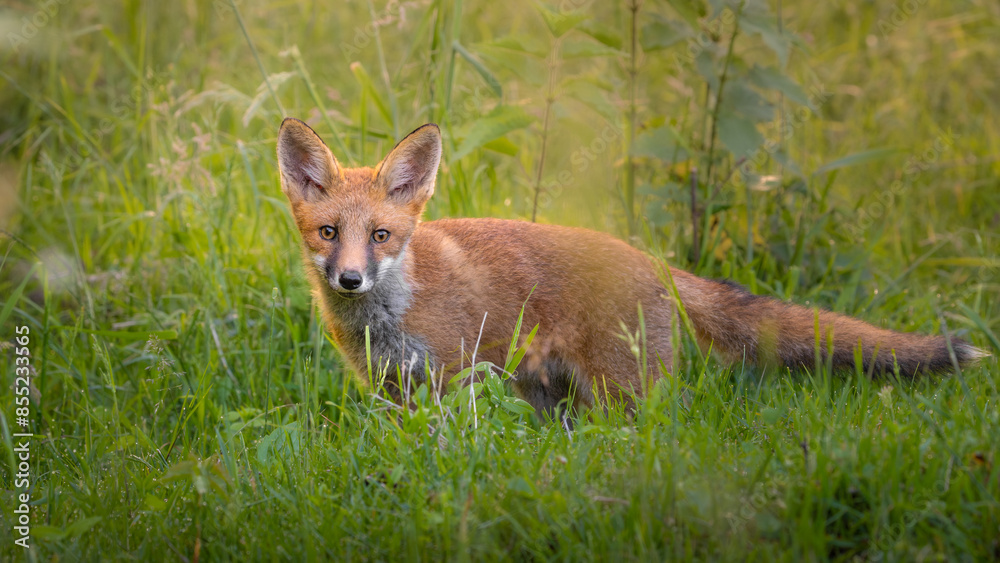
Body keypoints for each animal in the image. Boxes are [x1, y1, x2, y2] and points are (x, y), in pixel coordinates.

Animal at [276, 117, 985, 417]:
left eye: (382, 236)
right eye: (329, 233)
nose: (350, 279)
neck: (389, 315)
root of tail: (654, 260)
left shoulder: (455, 378)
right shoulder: (392, 388)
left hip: (626, 390)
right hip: (555, 396)